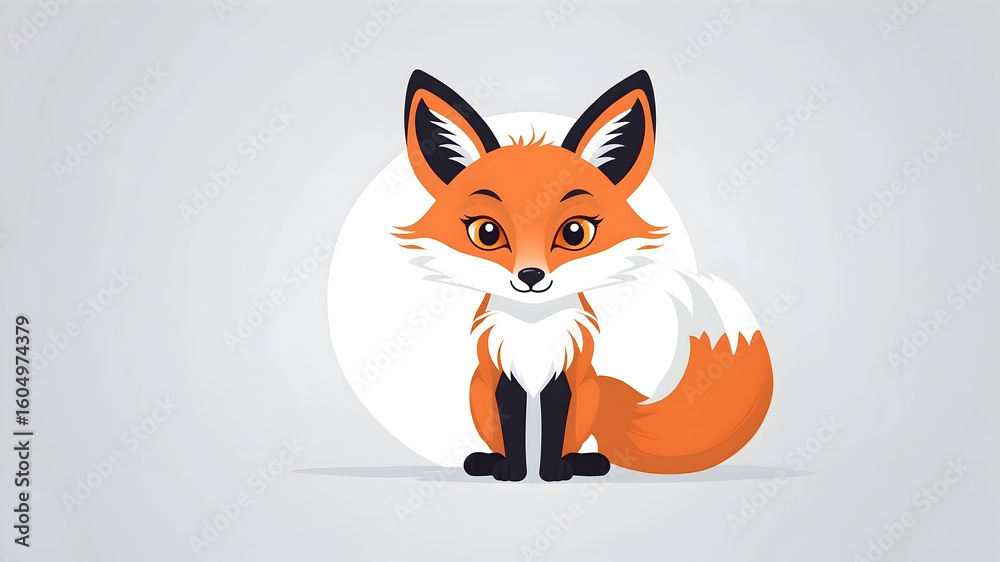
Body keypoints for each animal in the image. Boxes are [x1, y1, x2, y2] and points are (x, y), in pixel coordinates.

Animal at [395, 69, 773, 481]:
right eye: (487, 233)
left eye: (575, 232)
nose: (531, 276)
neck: (534, 328)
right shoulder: (503, 371)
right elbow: (514, 427)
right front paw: (514, 470)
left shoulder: (564, 369)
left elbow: (553, 428)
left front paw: (551, 471)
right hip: (477, 392)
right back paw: (486, 461)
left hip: (587, 393)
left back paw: (583, 462)